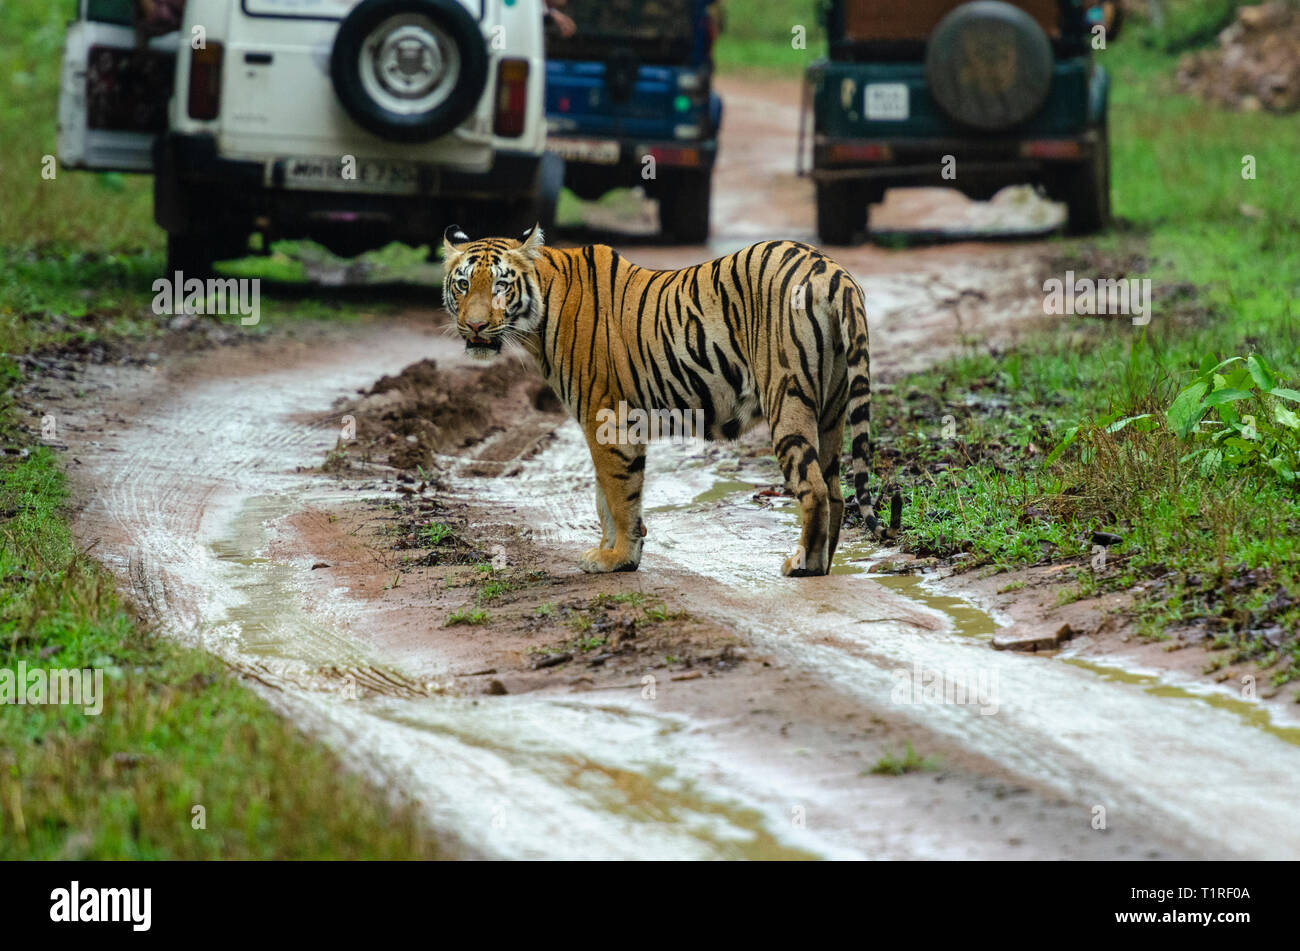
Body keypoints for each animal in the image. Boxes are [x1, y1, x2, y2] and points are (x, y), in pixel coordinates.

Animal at [441, 224, 878, 579]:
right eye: (462, 285)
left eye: (500, 286)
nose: (475, 326)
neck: (540, 317)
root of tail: (832, 270)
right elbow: (604, 496)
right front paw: (611, 552)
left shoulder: (605, 418)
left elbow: (618, 495)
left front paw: (617, 557)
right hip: (831, 409)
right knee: (835, 490)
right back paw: (823, 563)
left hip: (787, 397)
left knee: (813, 487)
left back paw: (803, 565)